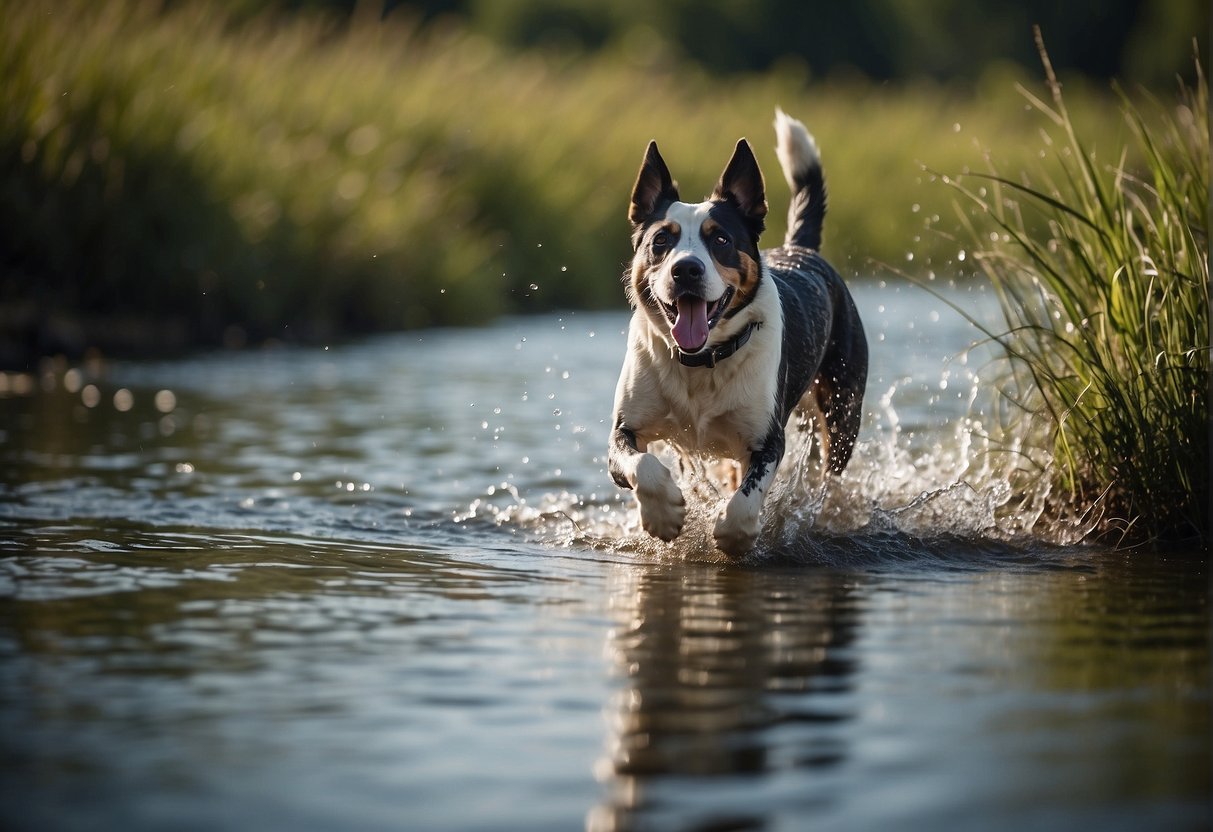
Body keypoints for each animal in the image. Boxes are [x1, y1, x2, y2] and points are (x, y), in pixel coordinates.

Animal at [611, 107, 868, 557]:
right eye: (660, 241)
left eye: (720, 239)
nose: (686, 270)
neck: (700, 361)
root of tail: (801, 248)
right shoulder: (623, 432)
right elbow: (641, 464)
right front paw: (664, 514)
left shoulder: (766, 438)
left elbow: (748, 497)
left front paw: (732, 531)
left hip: (842, 411)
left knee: (830, 472)